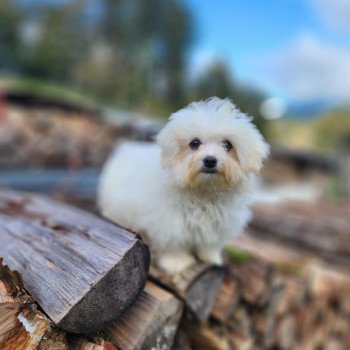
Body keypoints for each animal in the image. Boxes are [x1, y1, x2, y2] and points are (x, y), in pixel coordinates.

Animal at [97, 98, 270, 274]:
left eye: (228, 145)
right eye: (194, 143)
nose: (210, 160)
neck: (204, 191)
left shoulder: (221, 221)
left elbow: (210, 242)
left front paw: (210, 256)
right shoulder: (170, 219)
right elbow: (175, 241)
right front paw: (177, 262)